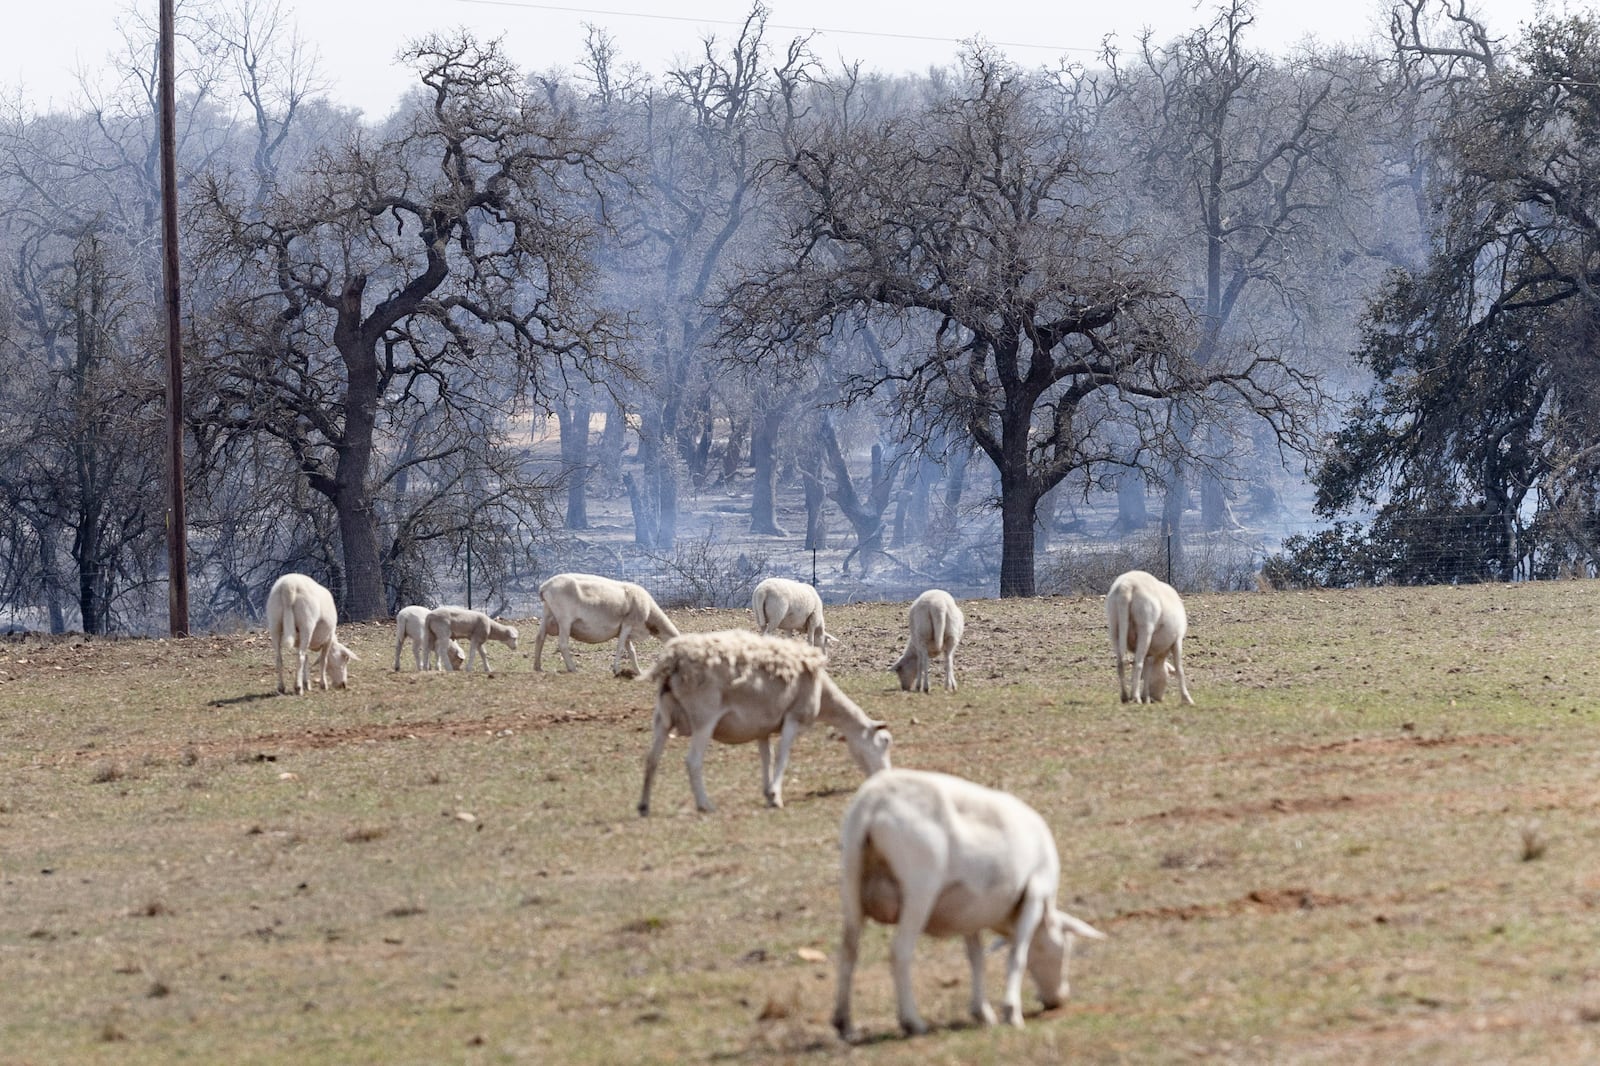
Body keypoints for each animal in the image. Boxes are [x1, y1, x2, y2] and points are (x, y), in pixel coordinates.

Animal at [534, 569, 678, 675]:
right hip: (565, 618)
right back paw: (573, 668)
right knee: (563, 643)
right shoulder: (628, 624)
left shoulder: (626, 631)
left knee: (540, 637)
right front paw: (616, 670)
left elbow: (631, 651)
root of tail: (545, 586)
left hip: (547, 612)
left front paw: (638, 671)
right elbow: (620, 648)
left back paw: (537, 667)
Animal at [633, 630, 889, 813]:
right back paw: (705, 805)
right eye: (884, 742)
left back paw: (644, 806)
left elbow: (768, 757)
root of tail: (672, 662)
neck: (824, 695)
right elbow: (783, 757)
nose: (884, 776)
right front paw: (776, 796)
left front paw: (767, 792)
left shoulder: (762, 727)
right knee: (692, 761)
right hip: (703, 718)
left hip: (662, 717)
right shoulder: (793, 717)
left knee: (651, 759)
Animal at [832, 765, 1107, 1037]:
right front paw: (1011, 1012)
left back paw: (844, 1024)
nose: (1058, 1000)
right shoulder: (1035, 893)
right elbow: (1017, 956)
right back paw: (912, 1022)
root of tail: (874, 801)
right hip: (919, 889)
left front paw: (982, 1012)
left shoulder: (969, 907)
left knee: (849, 950)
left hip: (851, 882)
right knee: (900, 951)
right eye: (1066, 947)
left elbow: (976, 957)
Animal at [1107, 563, 1196, 704]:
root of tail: (1126, 586)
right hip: (1145, 626)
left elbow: (1147, 670)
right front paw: (1187, 699)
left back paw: (1125, 696)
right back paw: (1135, 697)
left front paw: (1146, 697)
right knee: (1137, 663)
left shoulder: (1151, 651)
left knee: (1121, 662)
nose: (1157, 699)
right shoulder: (1177, 640)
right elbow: (1179, 668)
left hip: (1114, 626)